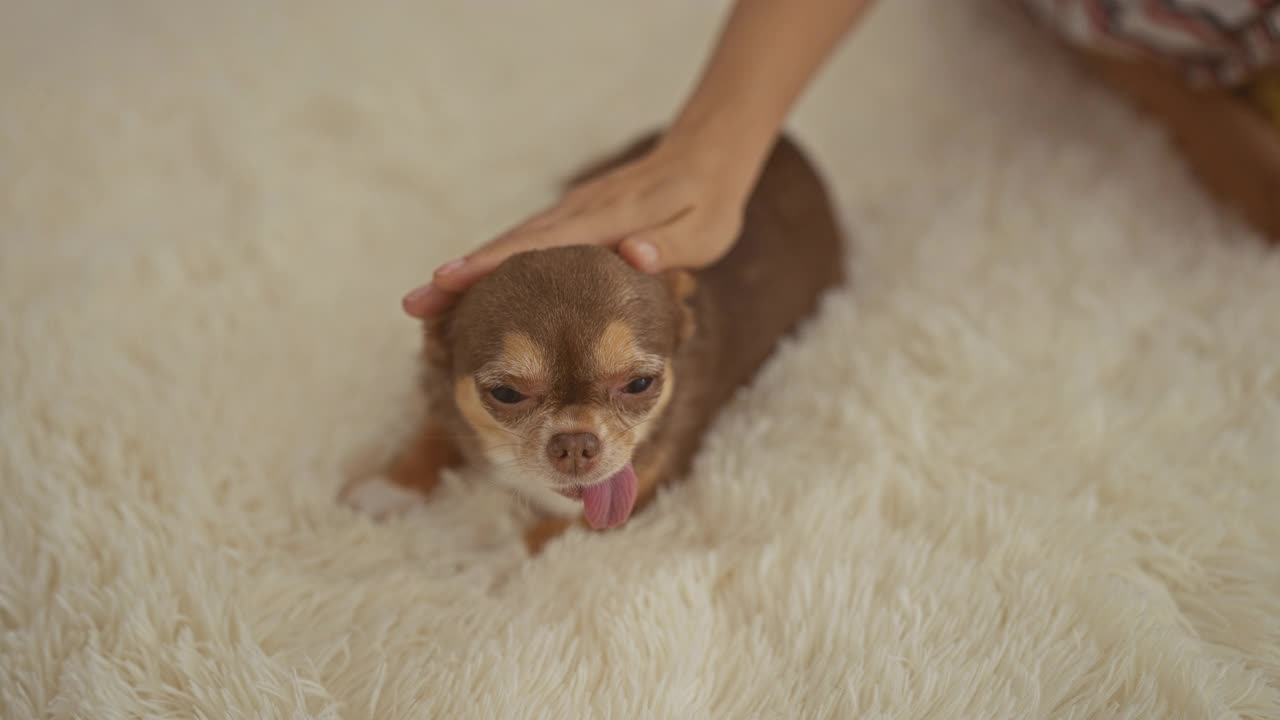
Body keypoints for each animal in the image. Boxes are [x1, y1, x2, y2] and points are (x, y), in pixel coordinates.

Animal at [340, 131, 849, 550]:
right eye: (506, 394)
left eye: (640, 385)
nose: (575, 443)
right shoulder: (442, 390)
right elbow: (431, 431)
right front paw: (390, 485)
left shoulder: (636, 495)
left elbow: (544, 539)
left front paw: (495, 560)